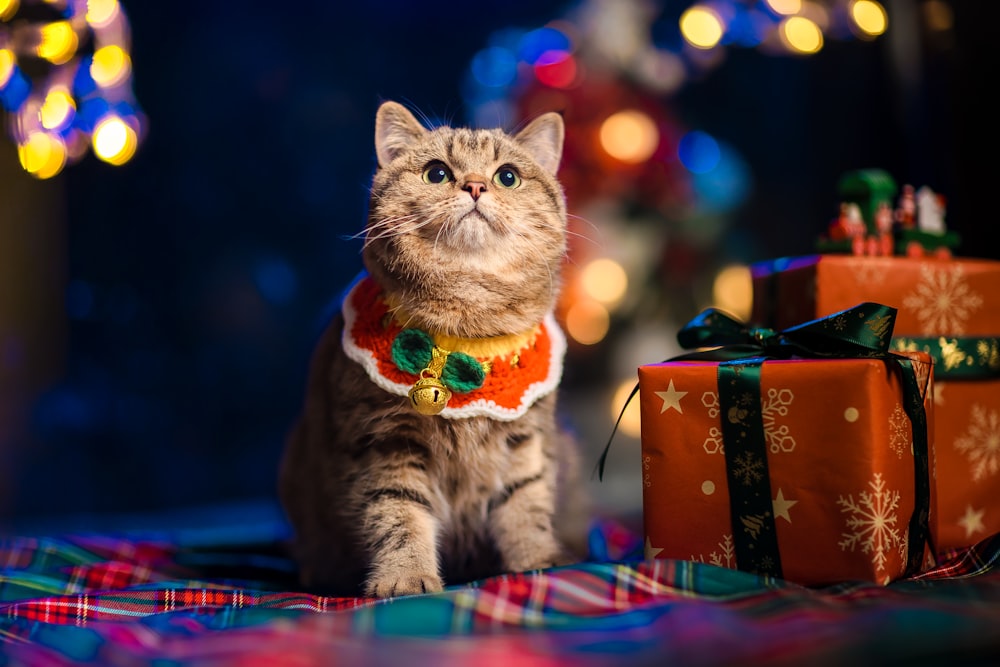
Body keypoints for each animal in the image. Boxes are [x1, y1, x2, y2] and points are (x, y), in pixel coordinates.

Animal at [278, 100, 588, 600]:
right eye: (437, 173)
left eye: (507, 177)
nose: (476, 185)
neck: (467, 320)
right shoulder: (386, 442)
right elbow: (399, 516)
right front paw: (405, 576)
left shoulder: (526, 439)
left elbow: (525, 505)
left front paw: (538, 563)